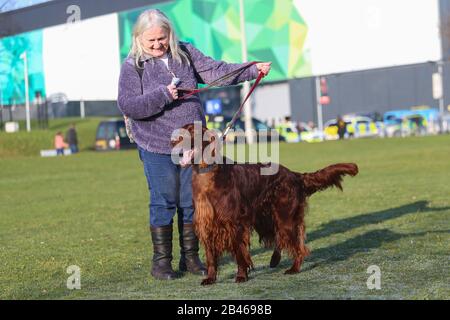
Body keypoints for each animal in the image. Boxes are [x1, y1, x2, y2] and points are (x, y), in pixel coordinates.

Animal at [172, 123, 358, 284]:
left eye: (191, 131)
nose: (172, 140)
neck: (207, 173)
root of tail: (295, 175)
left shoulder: (234, 223)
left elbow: (239, 252)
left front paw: (241, 276)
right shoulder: (207, 223)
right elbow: (211, 256)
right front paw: (210, 278)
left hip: (285, 217)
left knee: (297, 245)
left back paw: (294, 268)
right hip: (266, 218)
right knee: (280, 239)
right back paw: (275, 260)